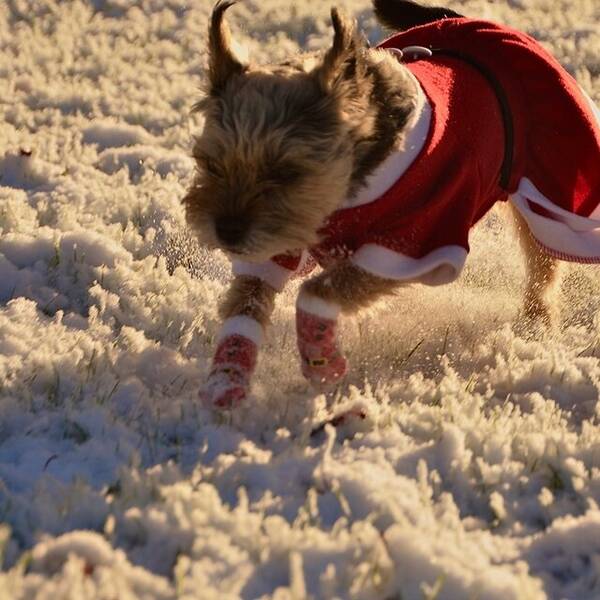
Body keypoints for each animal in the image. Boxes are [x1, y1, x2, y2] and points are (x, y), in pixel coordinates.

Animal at [183, 0, 600, 408]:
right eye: (211, 164)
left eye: (286, 171)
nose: (227, 231)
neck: (346, 194)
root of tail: (470, 20)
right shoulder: (281, 238)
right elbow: (247, 301)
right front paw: (226, 378)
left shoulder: (416, 239)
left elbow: (318, 291)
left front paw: (321, 360)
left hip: (556, 186)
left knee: (543, 258)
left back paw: (536, 321)